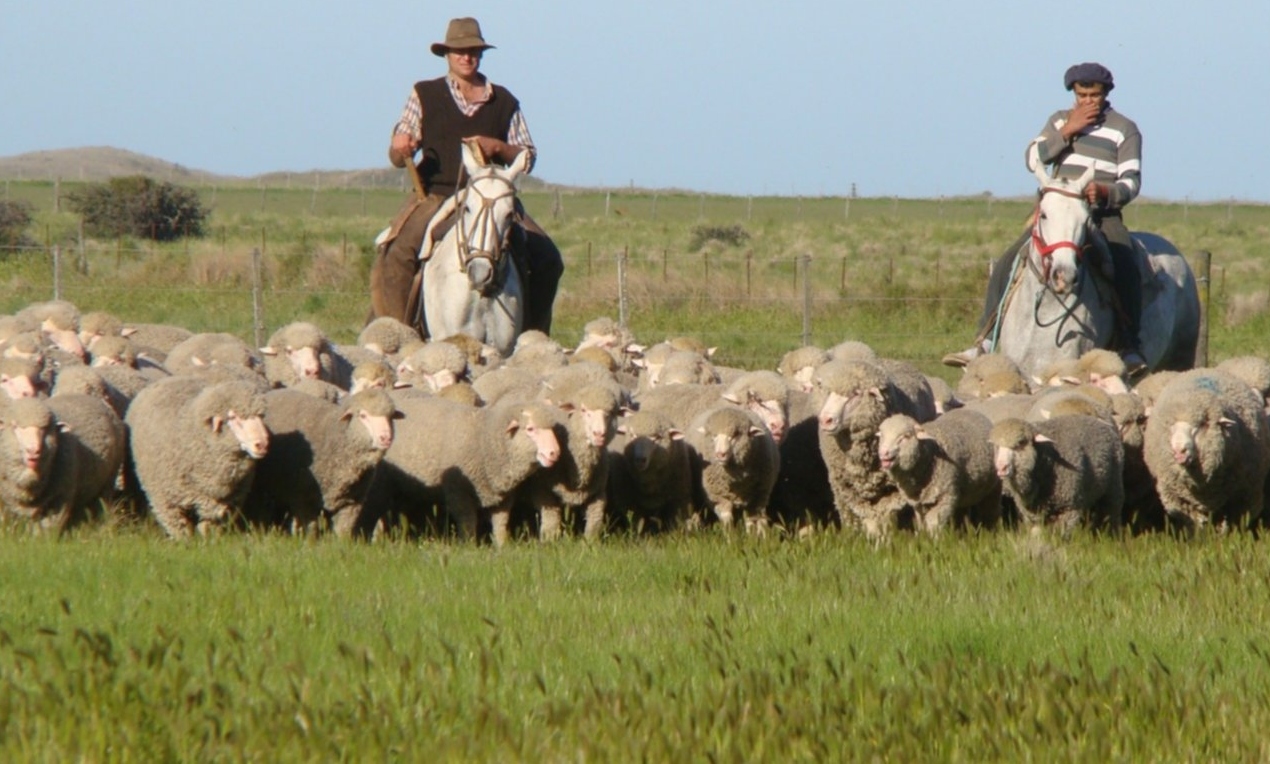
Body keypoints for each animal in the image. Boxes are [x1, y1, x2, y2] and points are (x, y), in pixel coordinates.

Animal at [126, 375, 270, 535]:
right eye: (233, 418)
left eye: (260, 417)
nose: (262, 444)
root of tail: (169, 378)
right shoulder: (167, 502)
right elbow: (182, 532)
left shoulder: (222, 506)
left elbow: (208, 529)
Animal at [985, 413, 1127, 533]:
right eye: (997, 446)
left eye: (1021, 443)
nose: (1001, 468)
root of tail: (1097, 421)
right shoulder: (1034, 514)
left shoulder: (1070, 508)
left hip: (1113, 485)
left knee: (1111, 513)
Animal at [1143, 368, 1270, 530]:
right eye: (1171, 427)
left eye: (1202, 424)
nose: (1179, 451)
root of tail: (1202, 369)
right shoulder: (1181, 501)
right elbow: (1197, 527)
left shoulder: (1243, 497)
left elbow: (1230, 527)